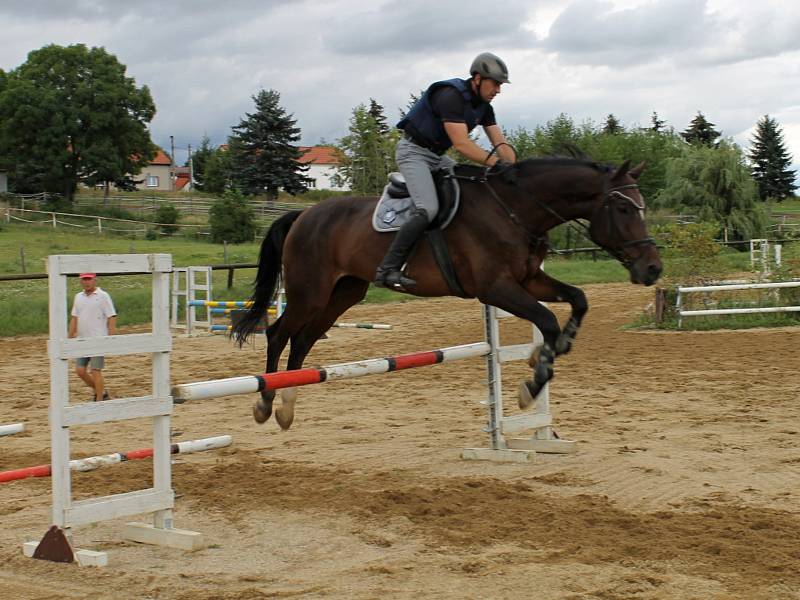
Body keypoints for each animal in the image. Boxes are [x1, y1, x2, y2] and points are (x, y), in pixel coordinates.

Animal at [231, 157, 664, 428]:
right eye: (624, 209)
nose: (653, 268)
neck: (514, 210)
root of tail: (304, 214)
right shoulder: (496, 288)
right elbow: (545, 319)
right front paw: (532, 381)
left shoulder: (529, 281)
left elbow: (578, 299)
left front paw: (553, 350)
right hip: (312, 291)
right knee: (280, 333)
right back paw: (265, 402)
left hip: (344, 293)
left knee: (304, 338)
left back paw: (288, 406)